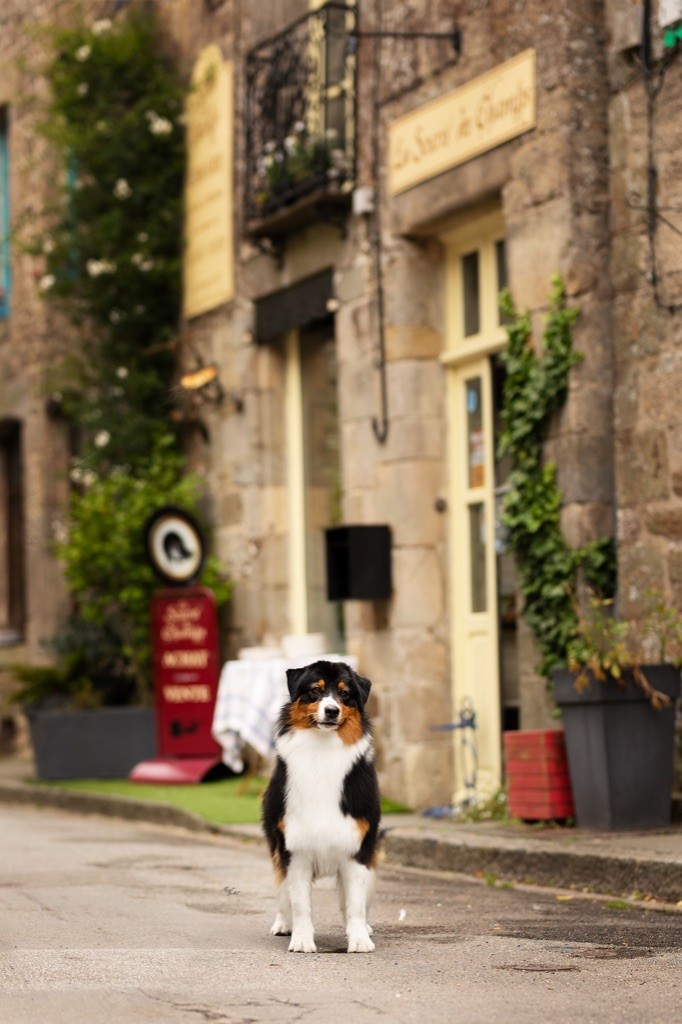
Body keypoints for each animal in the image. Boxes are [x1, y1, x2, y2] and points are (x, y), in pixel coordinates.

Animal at [260, 659, 378, 954]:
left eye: (344, 694)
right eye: (315, 690)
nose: (332, 710)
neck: (322, 752)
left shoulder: (358, 849)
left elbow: (355, 905)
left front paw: (360, 939)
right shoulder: (294, 849)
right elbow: (300, 904)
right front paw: (302, 940)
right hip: (276, 850)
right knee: (283, 894)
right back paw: (283, 923)